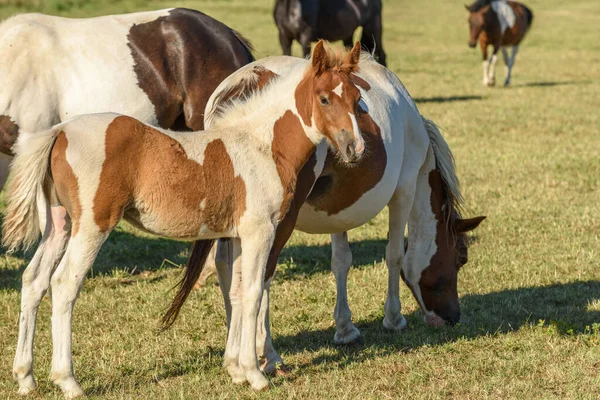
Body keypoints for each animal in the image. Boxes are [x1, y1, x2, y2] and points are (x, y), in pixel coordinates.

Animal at [3, 40, 366, 396]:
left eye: (357, 99)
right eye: (324, 98)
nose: (355, 149)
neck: (262, 144)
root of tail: (60, 131)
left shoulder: (236, 234)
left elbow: (235, 292)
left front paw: (236, 369)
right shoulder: (259, 230)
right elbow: (252, 294)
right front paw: (255, 374)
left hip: (60, 224)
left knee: (33, 280)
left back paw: (25, 377)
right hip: (93, 225)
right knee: (64, 285)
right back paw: (67, 379)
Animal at [195, 54, 486, 372]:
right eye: (461, 258)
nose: (453, 317)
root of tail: (246, 81)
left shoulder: (338, 207)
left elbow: (341, 262)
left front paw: (345, 329)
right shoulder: (405, 189)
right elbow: (395, 255)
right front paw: (394, 318)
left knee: (226, 267)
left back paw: (234, 347)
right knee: (261, 276)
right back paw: (268, 353)